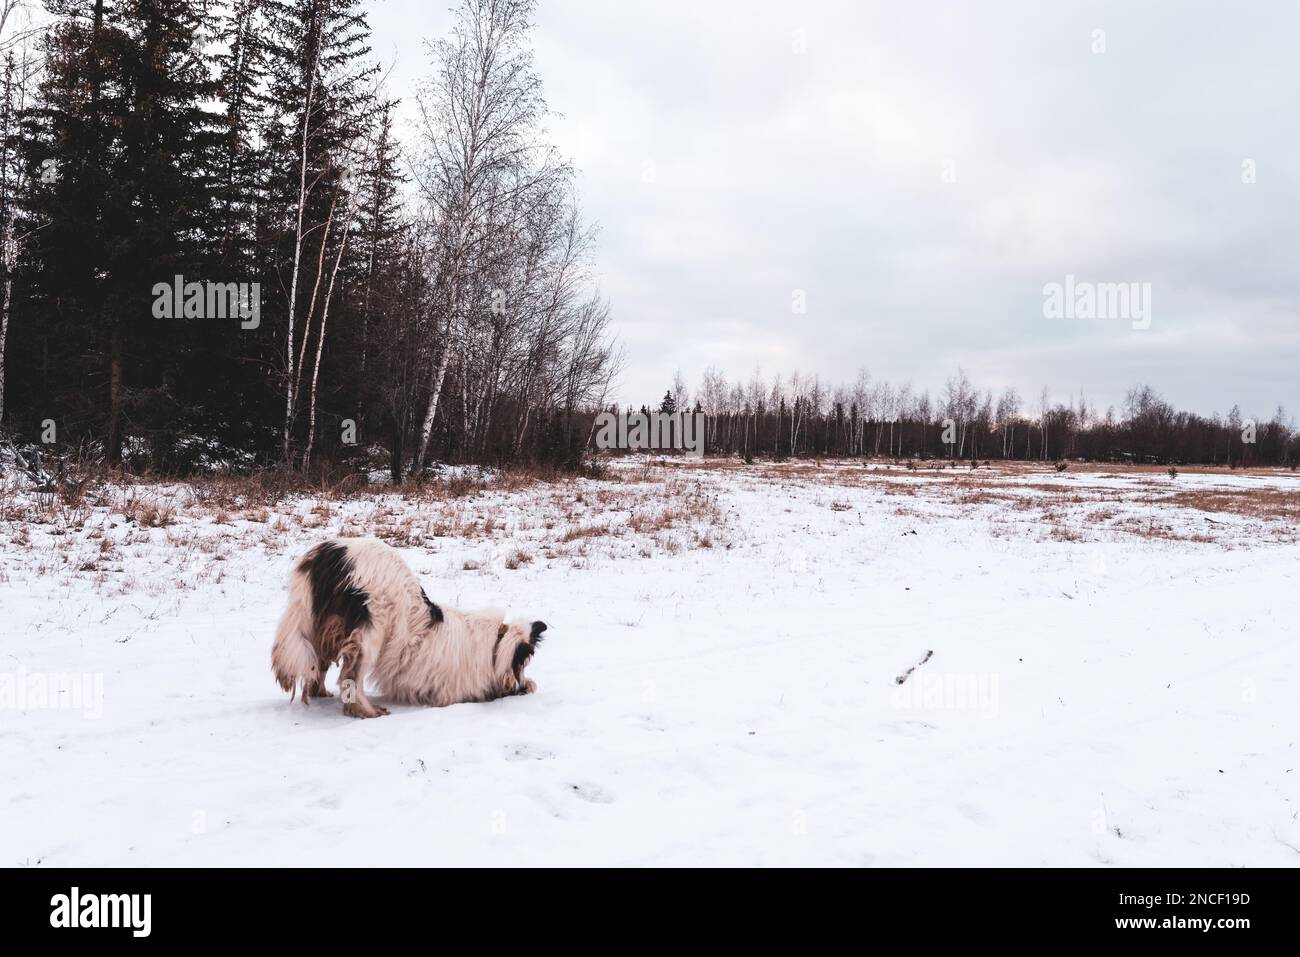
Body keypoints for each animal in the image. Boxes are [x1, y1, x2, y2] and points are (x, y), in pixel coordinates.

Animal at [271, 538, 546, 717]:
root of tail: (330, 553)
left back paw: (321, 693)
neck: (496, 646)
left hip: (320, 624)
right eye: (523, 662)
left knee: (319, 663)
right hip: (370, 631)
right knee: (352, 677)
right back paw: (367, 710)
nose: (520, 682)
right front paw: (528, 685)